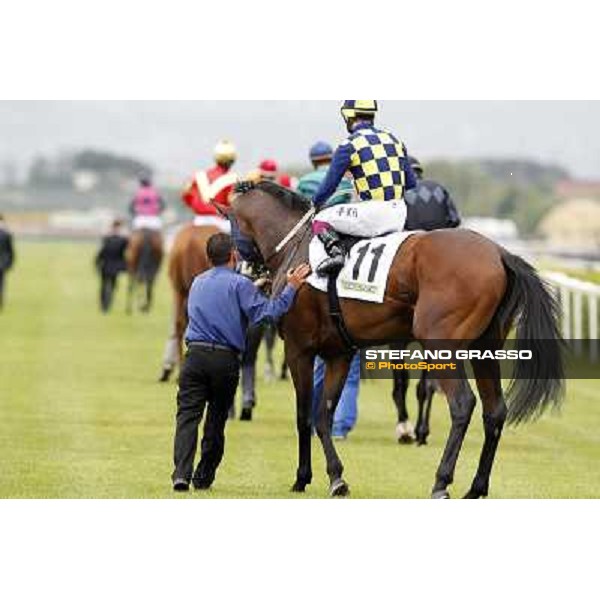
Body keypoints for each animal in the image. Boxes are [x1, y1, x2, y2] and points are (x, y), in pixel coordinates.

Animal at [229, 180, 564, 500]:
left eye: (230, 223)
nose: (245, 272)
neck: (296, 252)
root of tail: (499, 253)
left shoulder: (299, 349)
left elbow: (303, 415)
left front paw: (302, 478)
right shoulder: (339, 353)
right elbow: (323, 413)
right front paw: (336, 478)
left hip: (441, 344)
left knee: (462, 403)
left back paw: (441, 481)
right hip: (486, 349)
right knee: (494, 411)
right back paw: (476, 488)